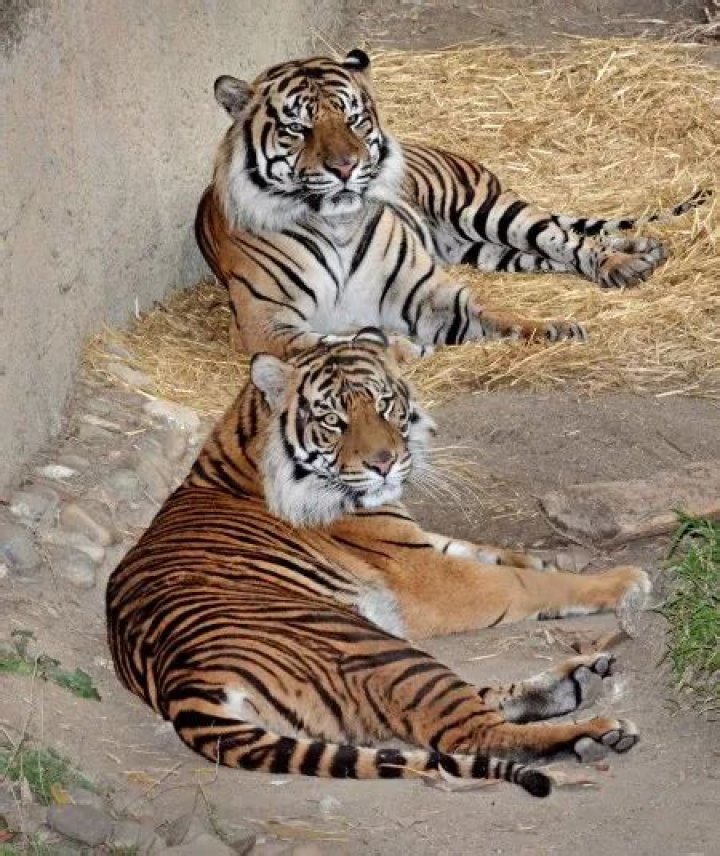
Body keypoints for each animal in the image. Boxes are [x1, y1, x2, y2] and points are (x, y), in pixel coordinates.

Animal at [106, 329, 651, 797]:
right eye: (333, 420)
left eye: (385, 405)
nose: (385, 463)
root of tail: (183, 687)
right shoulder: (430, 577)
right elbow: (520, 582)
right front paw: (625, 579)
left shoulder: (420, 543)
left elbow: (493, 552)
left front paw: (561, 556)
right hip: (378, 649)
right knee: (471, 732)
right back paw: (594, 730)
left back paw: (581, 679)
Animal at [195, 48, 708, 360]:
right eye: (298, 128)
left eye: (354, 119)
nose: (345, 167)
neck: (338, 226)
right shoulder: (266, 324)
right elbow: (337, 343)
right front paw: (402, 348)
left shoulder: (425, 295)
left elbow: (498, 317)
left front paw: (556, 330)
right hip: (484, 251)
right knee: (549, 254)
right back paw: (643, 250)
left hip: (489, 211)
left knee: (566, 239)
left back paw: (627, 262)